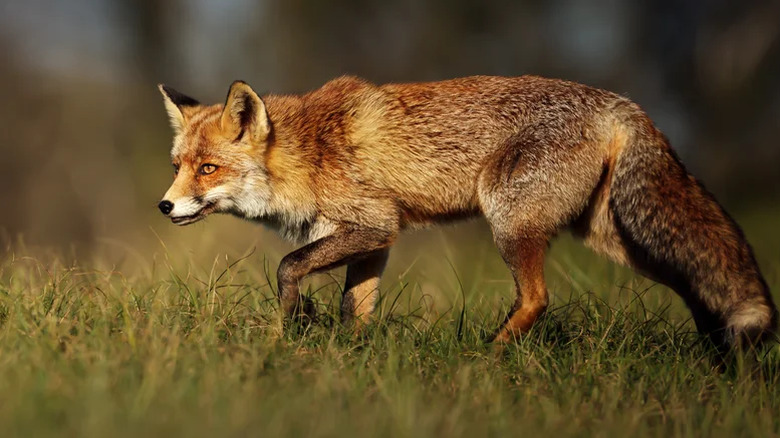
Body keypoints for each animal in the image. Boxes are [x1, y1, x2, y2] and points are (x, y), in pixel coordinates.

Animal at [157, 74, 772, 350]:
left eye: (208, 168)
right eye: (178, 165)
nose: (164, 205)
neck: (307, 153)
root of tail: (621, 104)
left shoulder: (373, 223)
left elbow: (289, 266)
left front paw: (293, 323)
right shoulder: (376, 239)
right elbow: (356, 308)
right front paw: (352, 357)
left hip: (510, 219)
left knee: (537, 299)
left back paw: (488, 358)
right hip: (613, 236)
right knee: (692, 278)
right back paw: (715, 358)